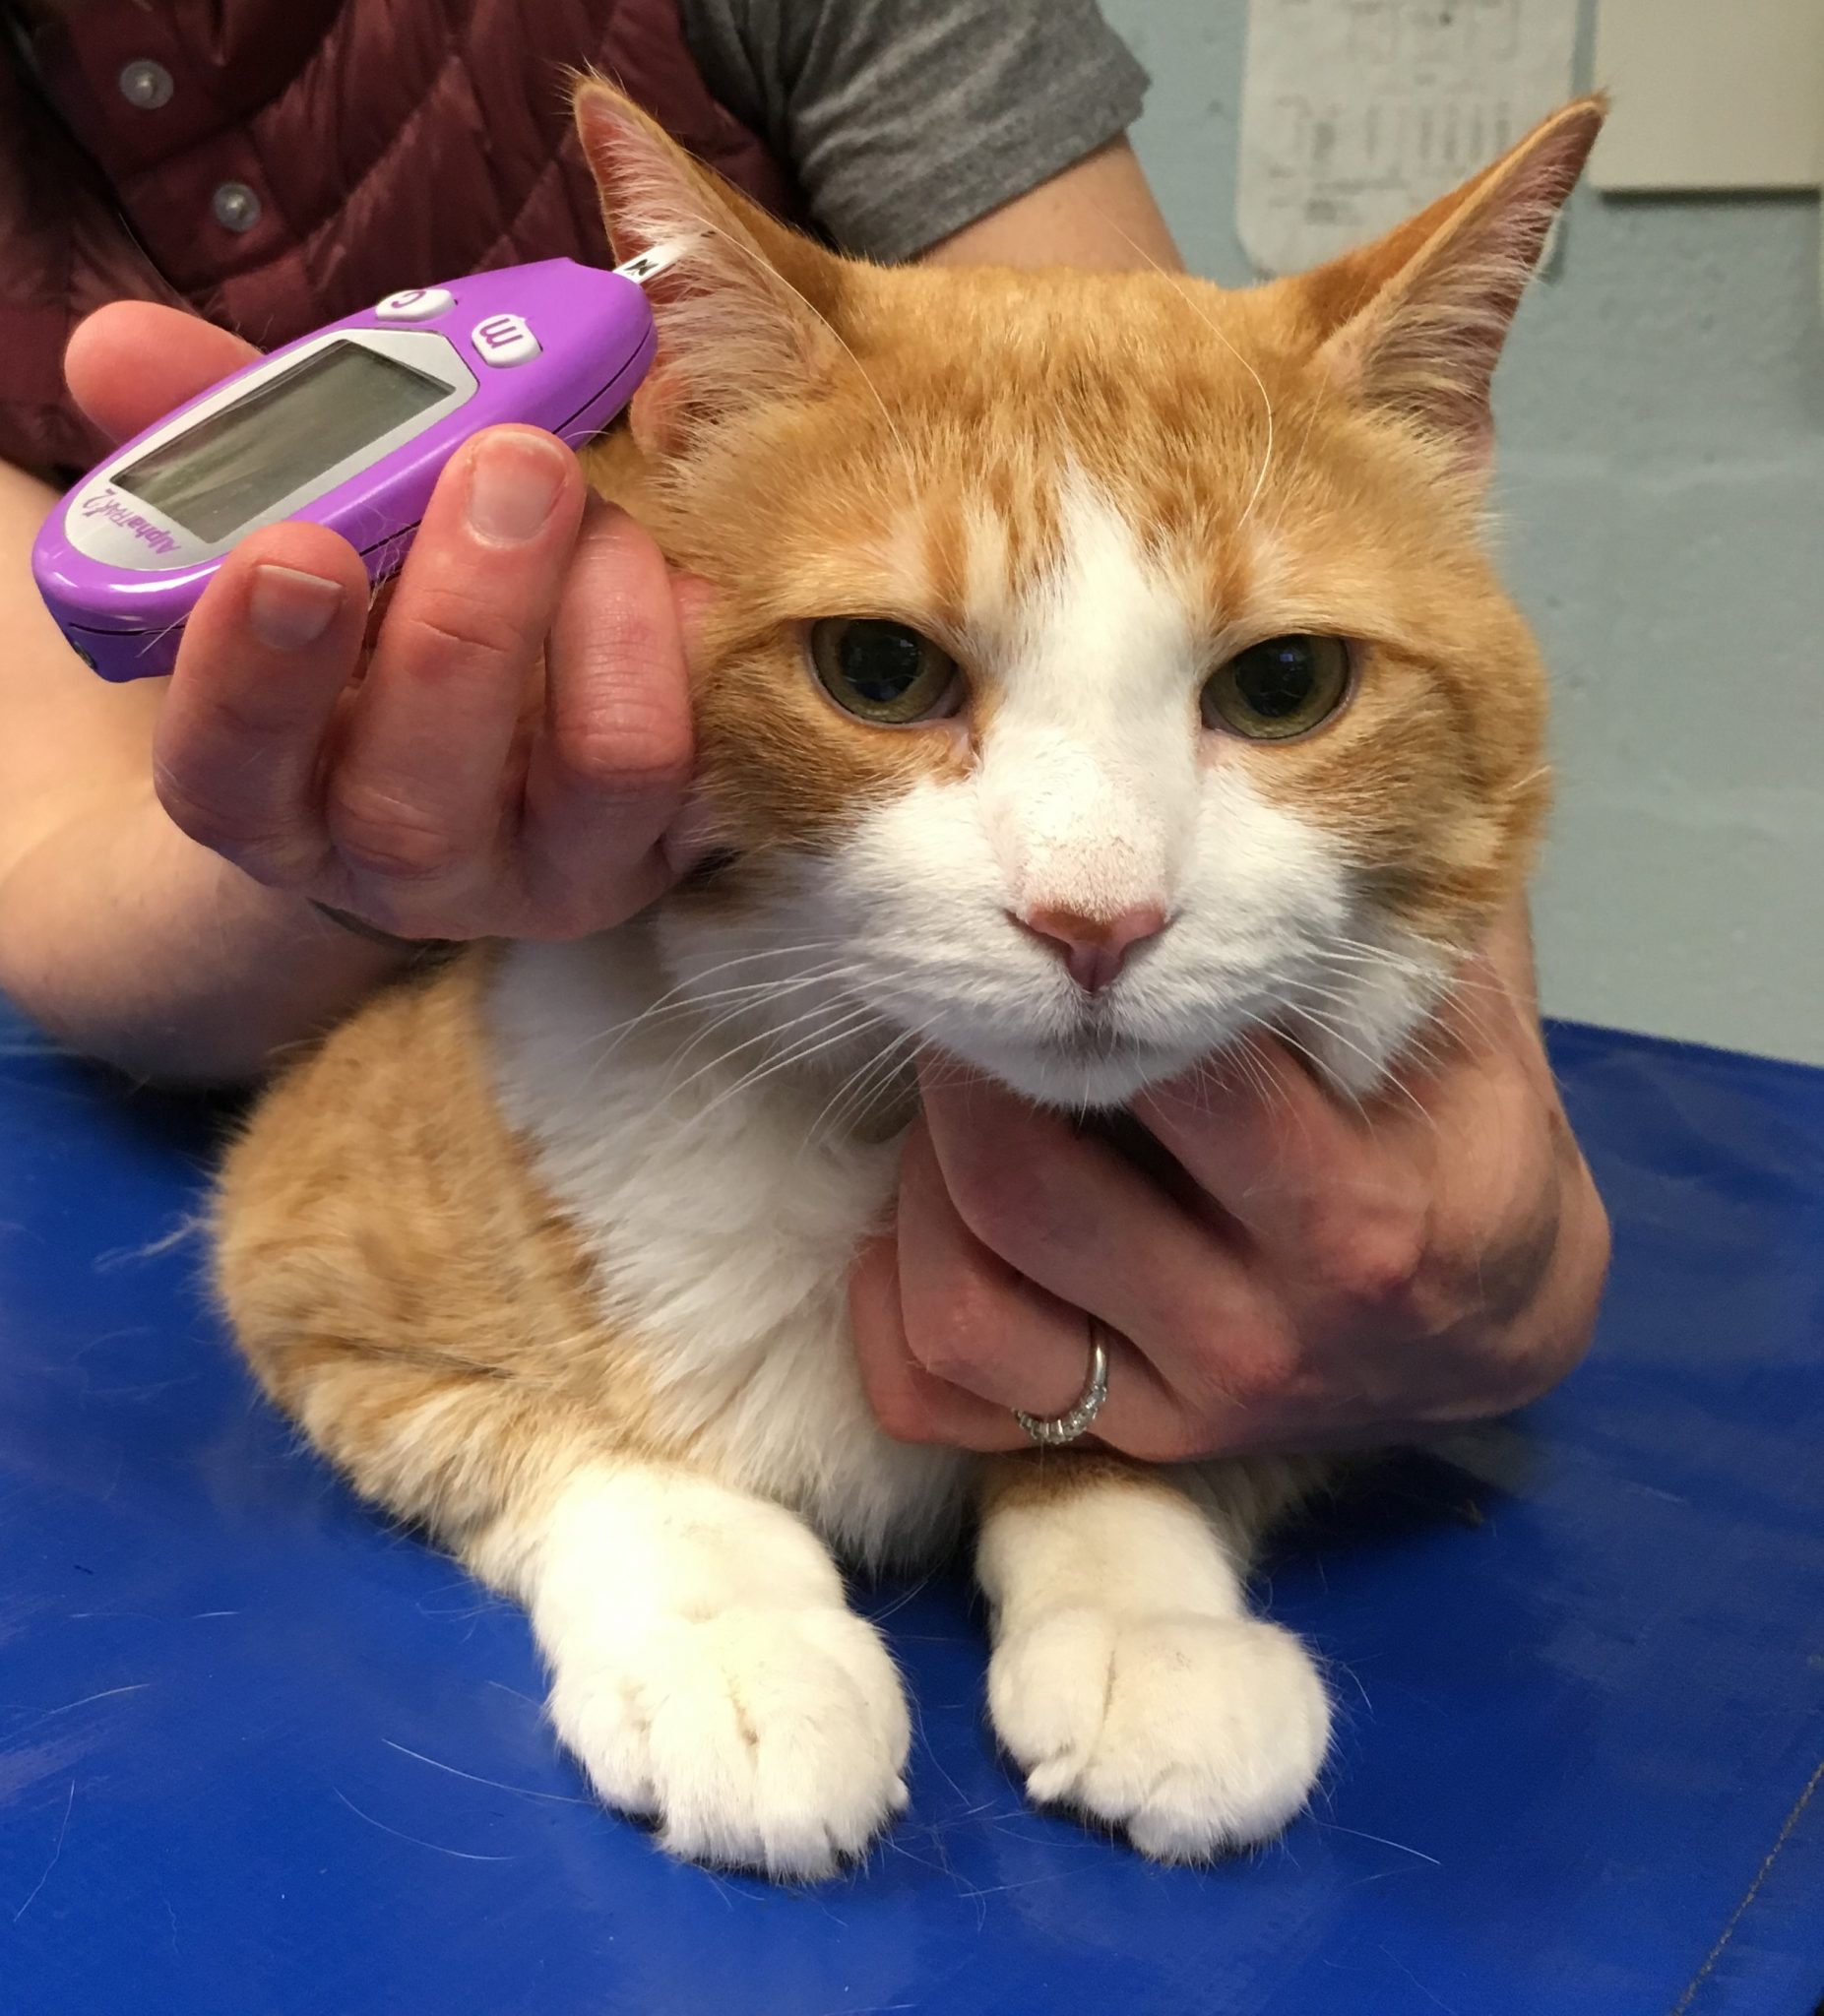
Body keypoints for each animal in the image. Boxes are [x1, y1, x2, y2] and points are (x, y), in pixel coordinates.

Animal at [214, 74, 1604, 1870]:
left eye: (1285, 684)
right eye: (877, 670)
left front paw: (1146, 1619)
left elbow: (1136, 1439)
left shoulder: (1338, 1358)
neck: (881, 1135)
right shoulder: (305, 1281)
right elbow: (603, 1447)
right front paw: (733, 1645)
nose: (1096, 917)